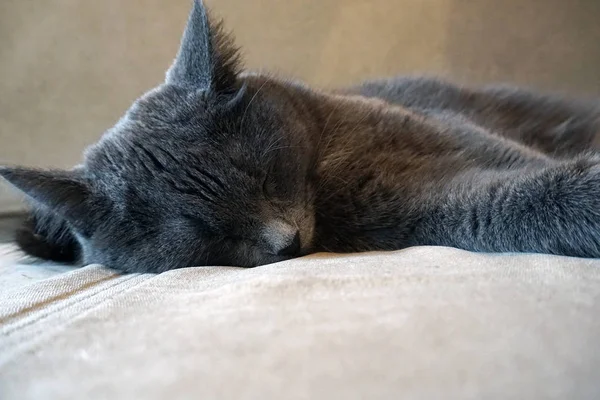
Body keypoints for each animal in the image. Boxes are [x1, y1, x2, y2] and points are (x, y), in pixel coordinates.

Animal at [1, 0, 600, 272]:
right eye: (201, 230)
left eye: (266, 175)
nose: (284, 242)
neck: (330, 166)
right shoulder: (429, 205)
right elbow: (510, 201)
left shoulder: (458, 136)